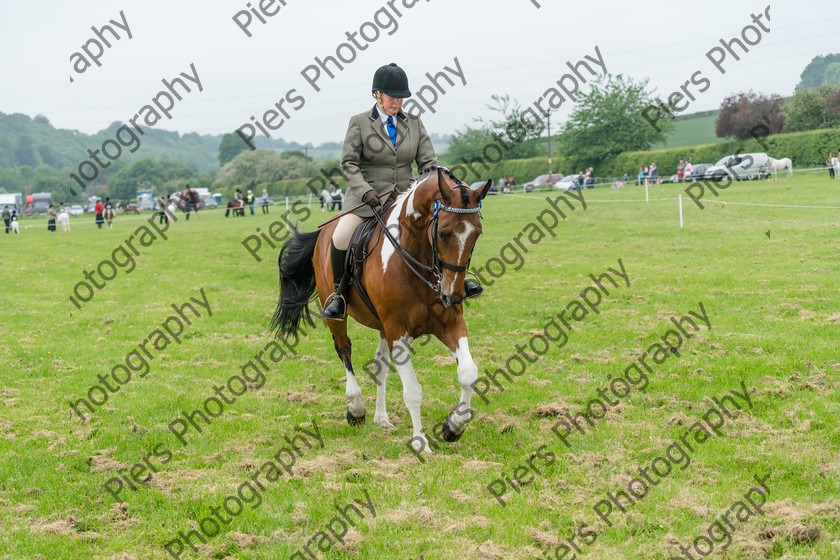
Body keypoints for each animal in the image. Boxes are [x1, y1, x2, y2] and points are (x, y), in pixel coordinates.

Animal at [272, 167, 492, 456]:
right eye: (443, 233)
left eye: (477, 234)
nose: (452, 295)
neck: (417, 258)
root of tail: (322, 233)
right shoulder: (398, 331)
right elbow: (413, 391)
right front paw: (420, 442)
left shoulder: (450, 323)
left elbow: (468, 373)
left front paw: (453, 427)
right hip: (338, 315)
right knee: (344, 350)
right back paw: (356, 409)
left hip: (382, 327)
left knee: (380, 366)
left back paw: (382, 418)